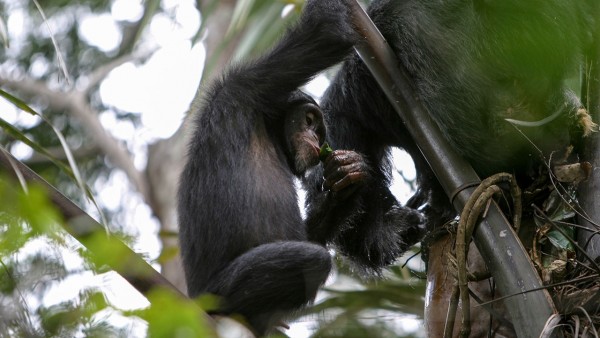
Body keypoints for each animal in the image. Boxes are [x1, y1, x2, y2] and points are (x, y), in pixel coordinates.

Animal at [176, 0, 424, 334]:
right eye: (308, 120)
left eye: (319, 129)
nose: (315, 137)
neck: (269, 128)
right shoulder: (246, 86)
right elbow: (323, 34)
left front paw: (348, 182)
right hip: (213, 294)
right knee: (312, 260)